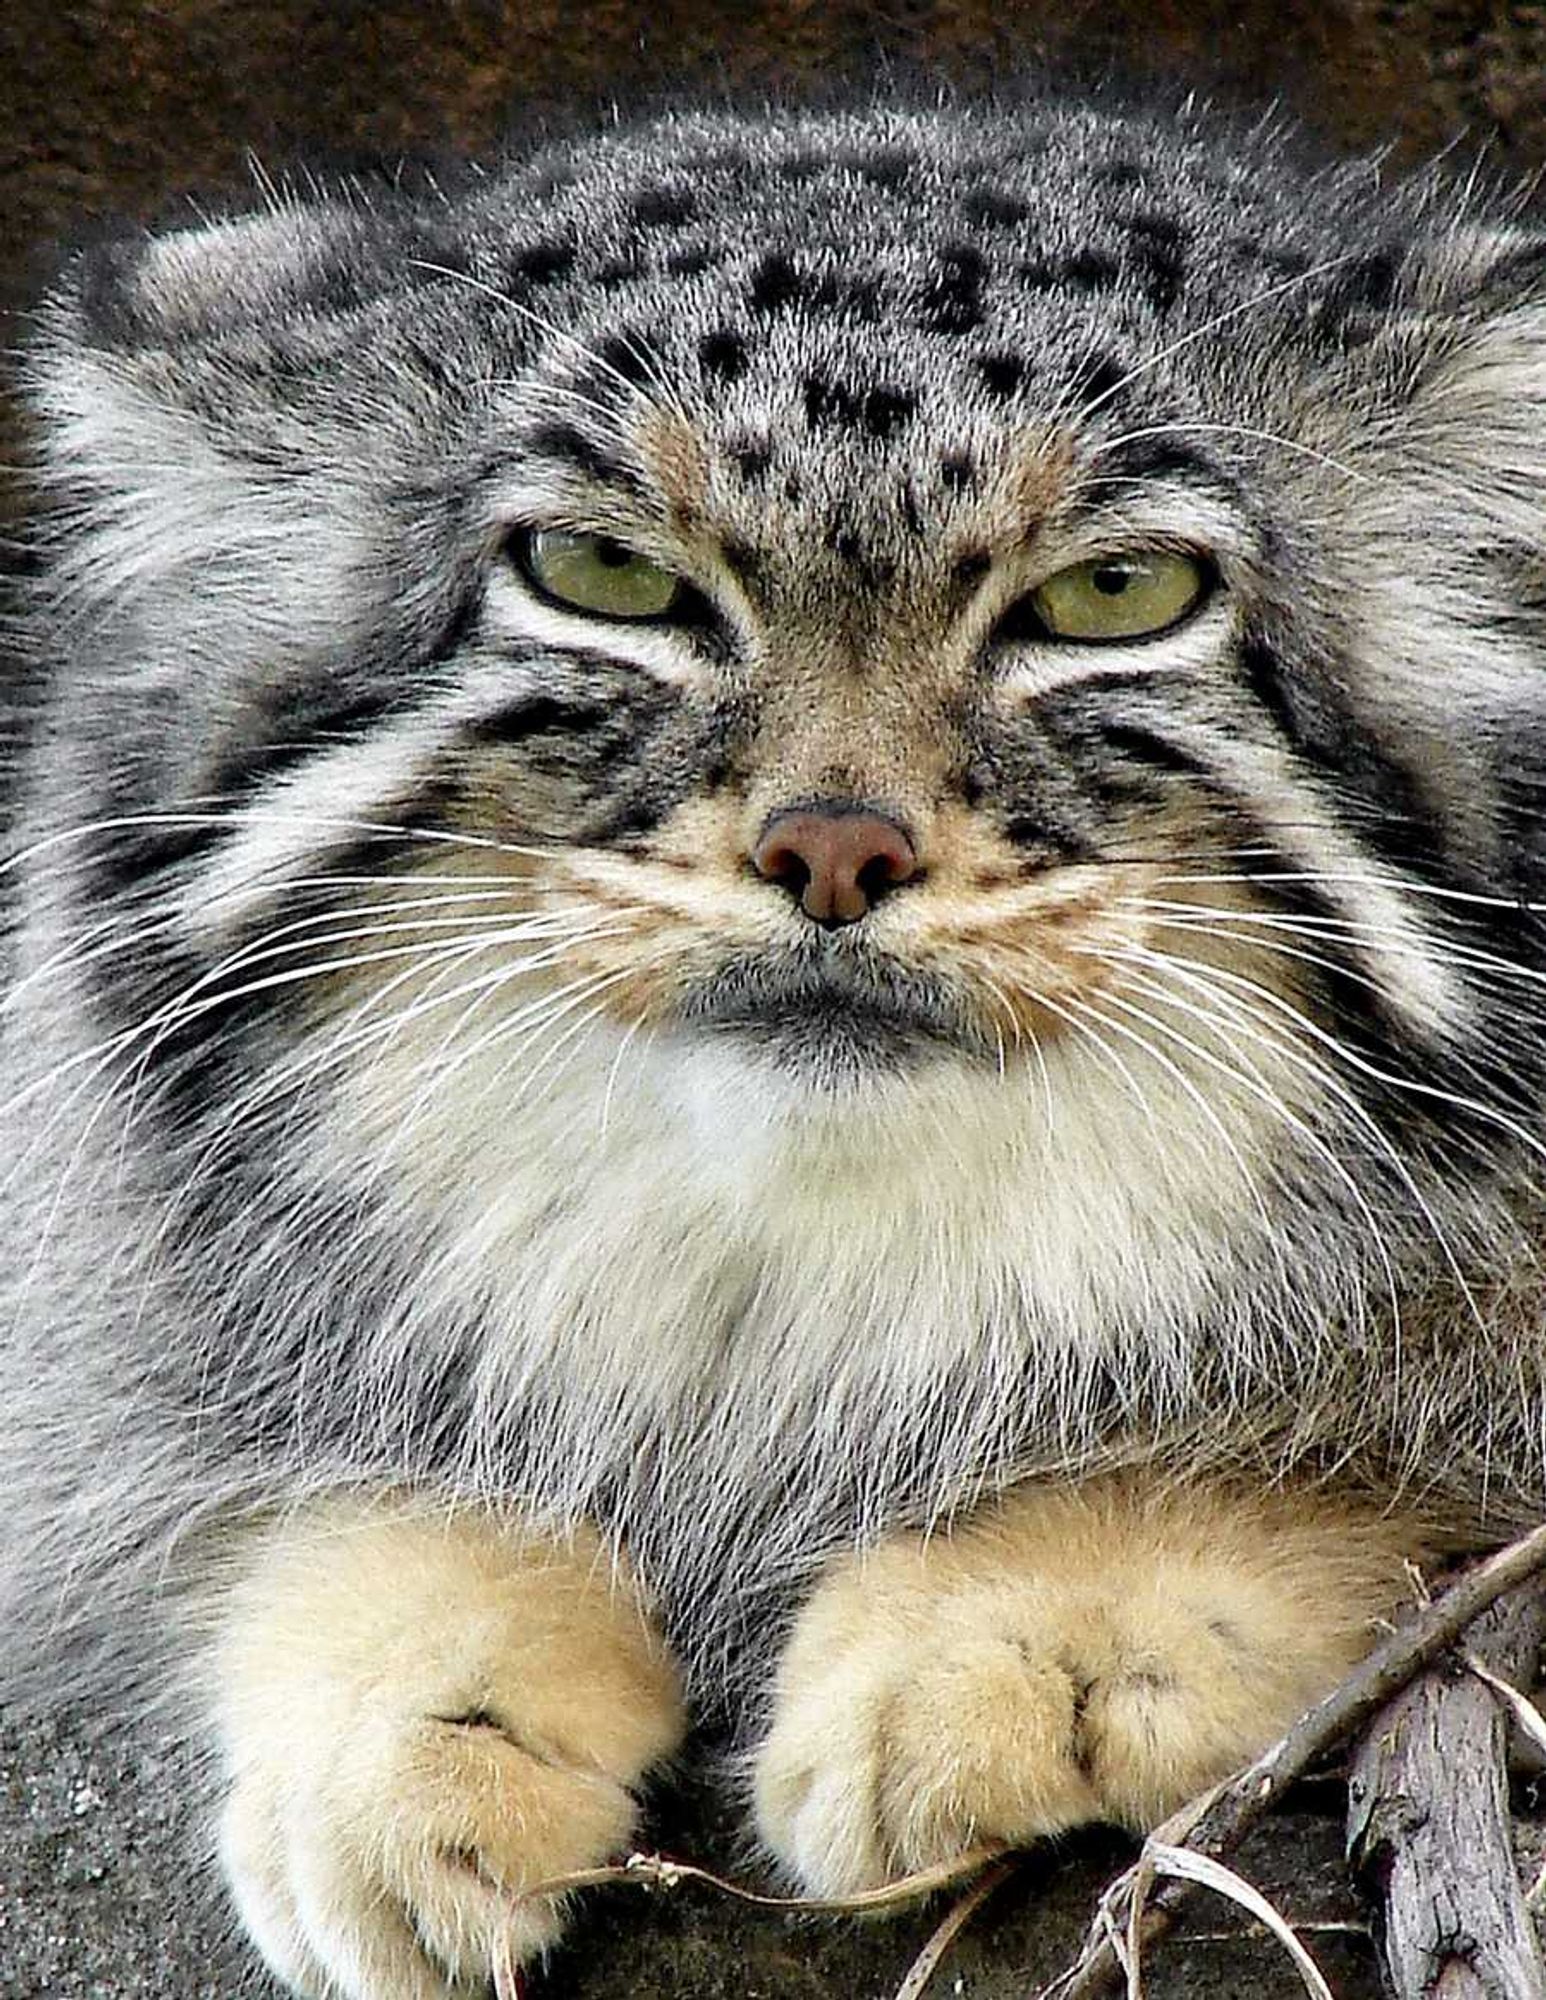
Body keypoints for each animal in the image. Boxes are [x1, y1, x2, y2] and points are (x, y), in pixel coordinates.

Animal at [3, 90, 1544, 2000]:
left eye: (1114, 594)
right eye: (602, 573)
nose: (832, 850)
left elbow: (1369, 1431)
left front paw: (1010, 1619)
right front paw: (411, 1691)